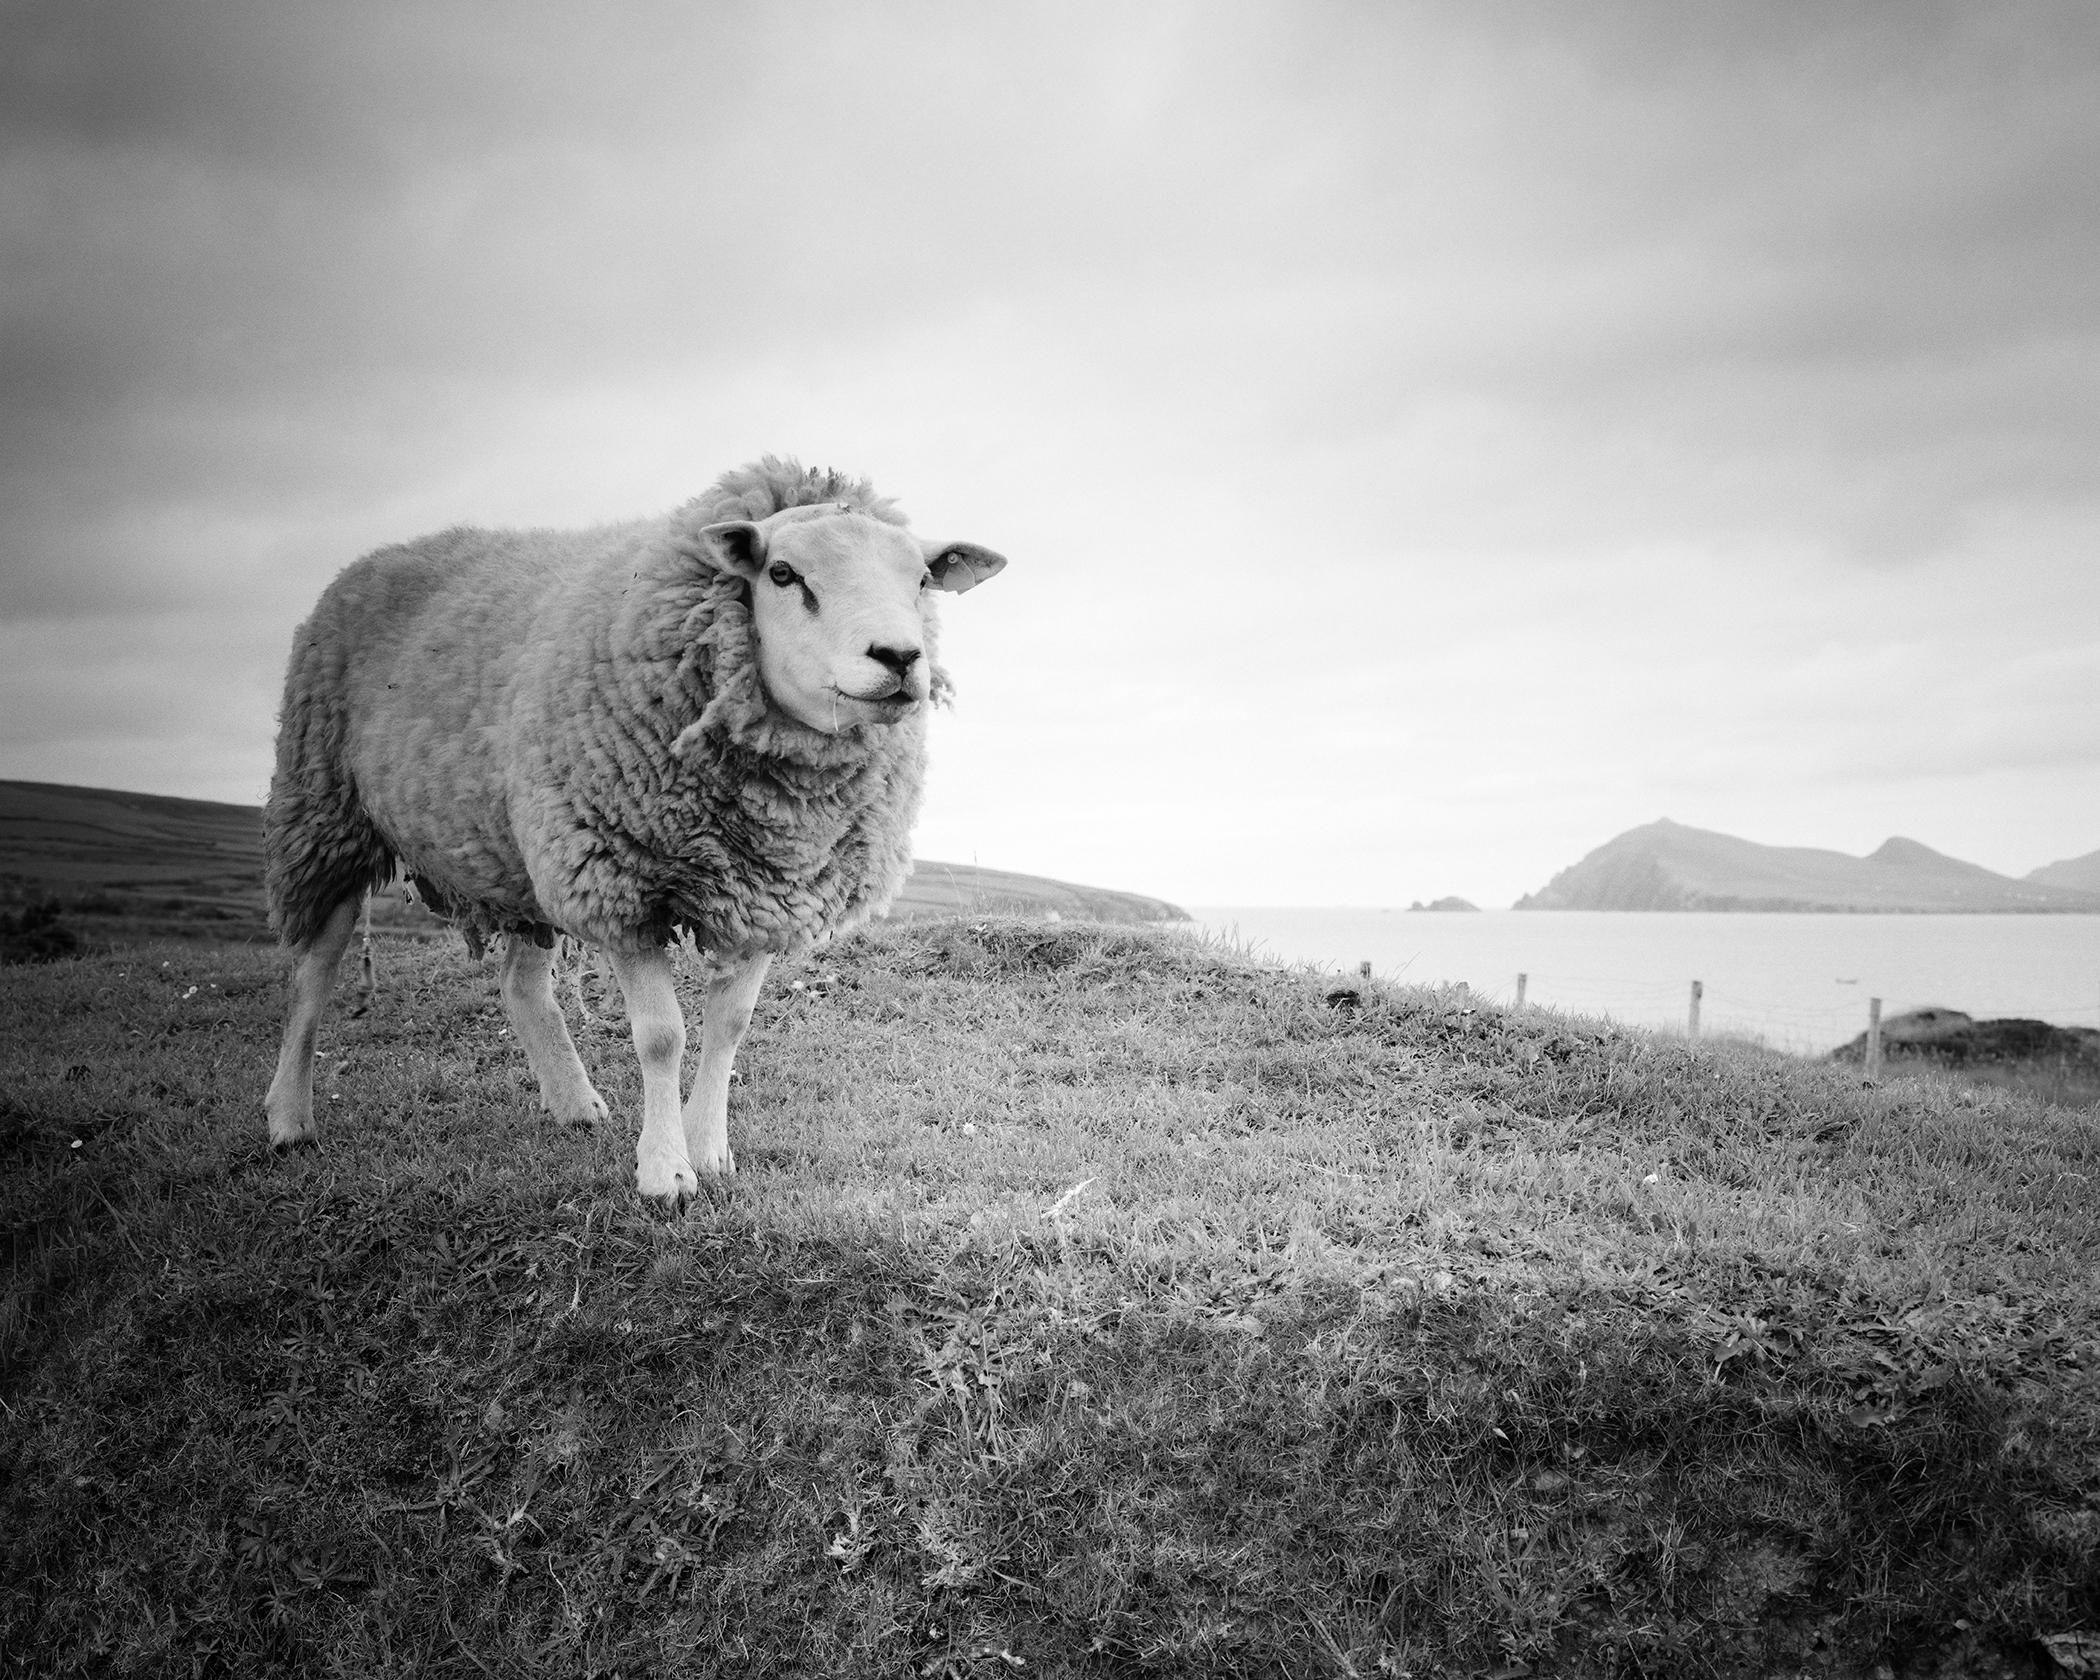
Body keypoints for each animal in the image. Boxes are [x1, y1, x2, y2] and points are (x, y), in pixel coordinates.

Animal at [261, 458, 1005, 1202]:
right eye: (783, 573)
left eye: (921, 580)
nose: (900, 657)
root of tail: (374, 557)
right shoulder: (620, 879)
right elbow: (661, 1036)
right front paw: (665, 1171)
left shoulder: (765, 890)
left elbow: (729, 1025)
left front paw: (711, 1151)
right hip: (326, 811)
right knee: (312, 974)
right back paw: (289, 1119)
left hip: (524, 851)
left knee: (522, 986)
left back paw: (573, 1104)